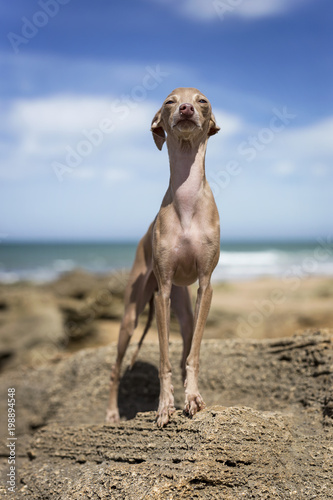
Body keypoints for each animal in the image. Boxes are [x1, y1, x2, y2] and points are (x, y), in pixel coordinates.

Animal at [107, 88, 220, 428]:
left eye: (202, 101)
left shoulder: (205, 286)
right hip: (131, 315)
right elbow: (163, 360)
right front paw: (164, 405)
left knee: (185, 345)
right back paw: (112, 412)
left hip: (185, 309)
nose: (185, 109)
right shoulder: (164, 291)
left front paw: (192, 397)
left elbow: (192, 355)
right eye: (169, 101)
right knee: (116, 368)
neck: (187, 200)